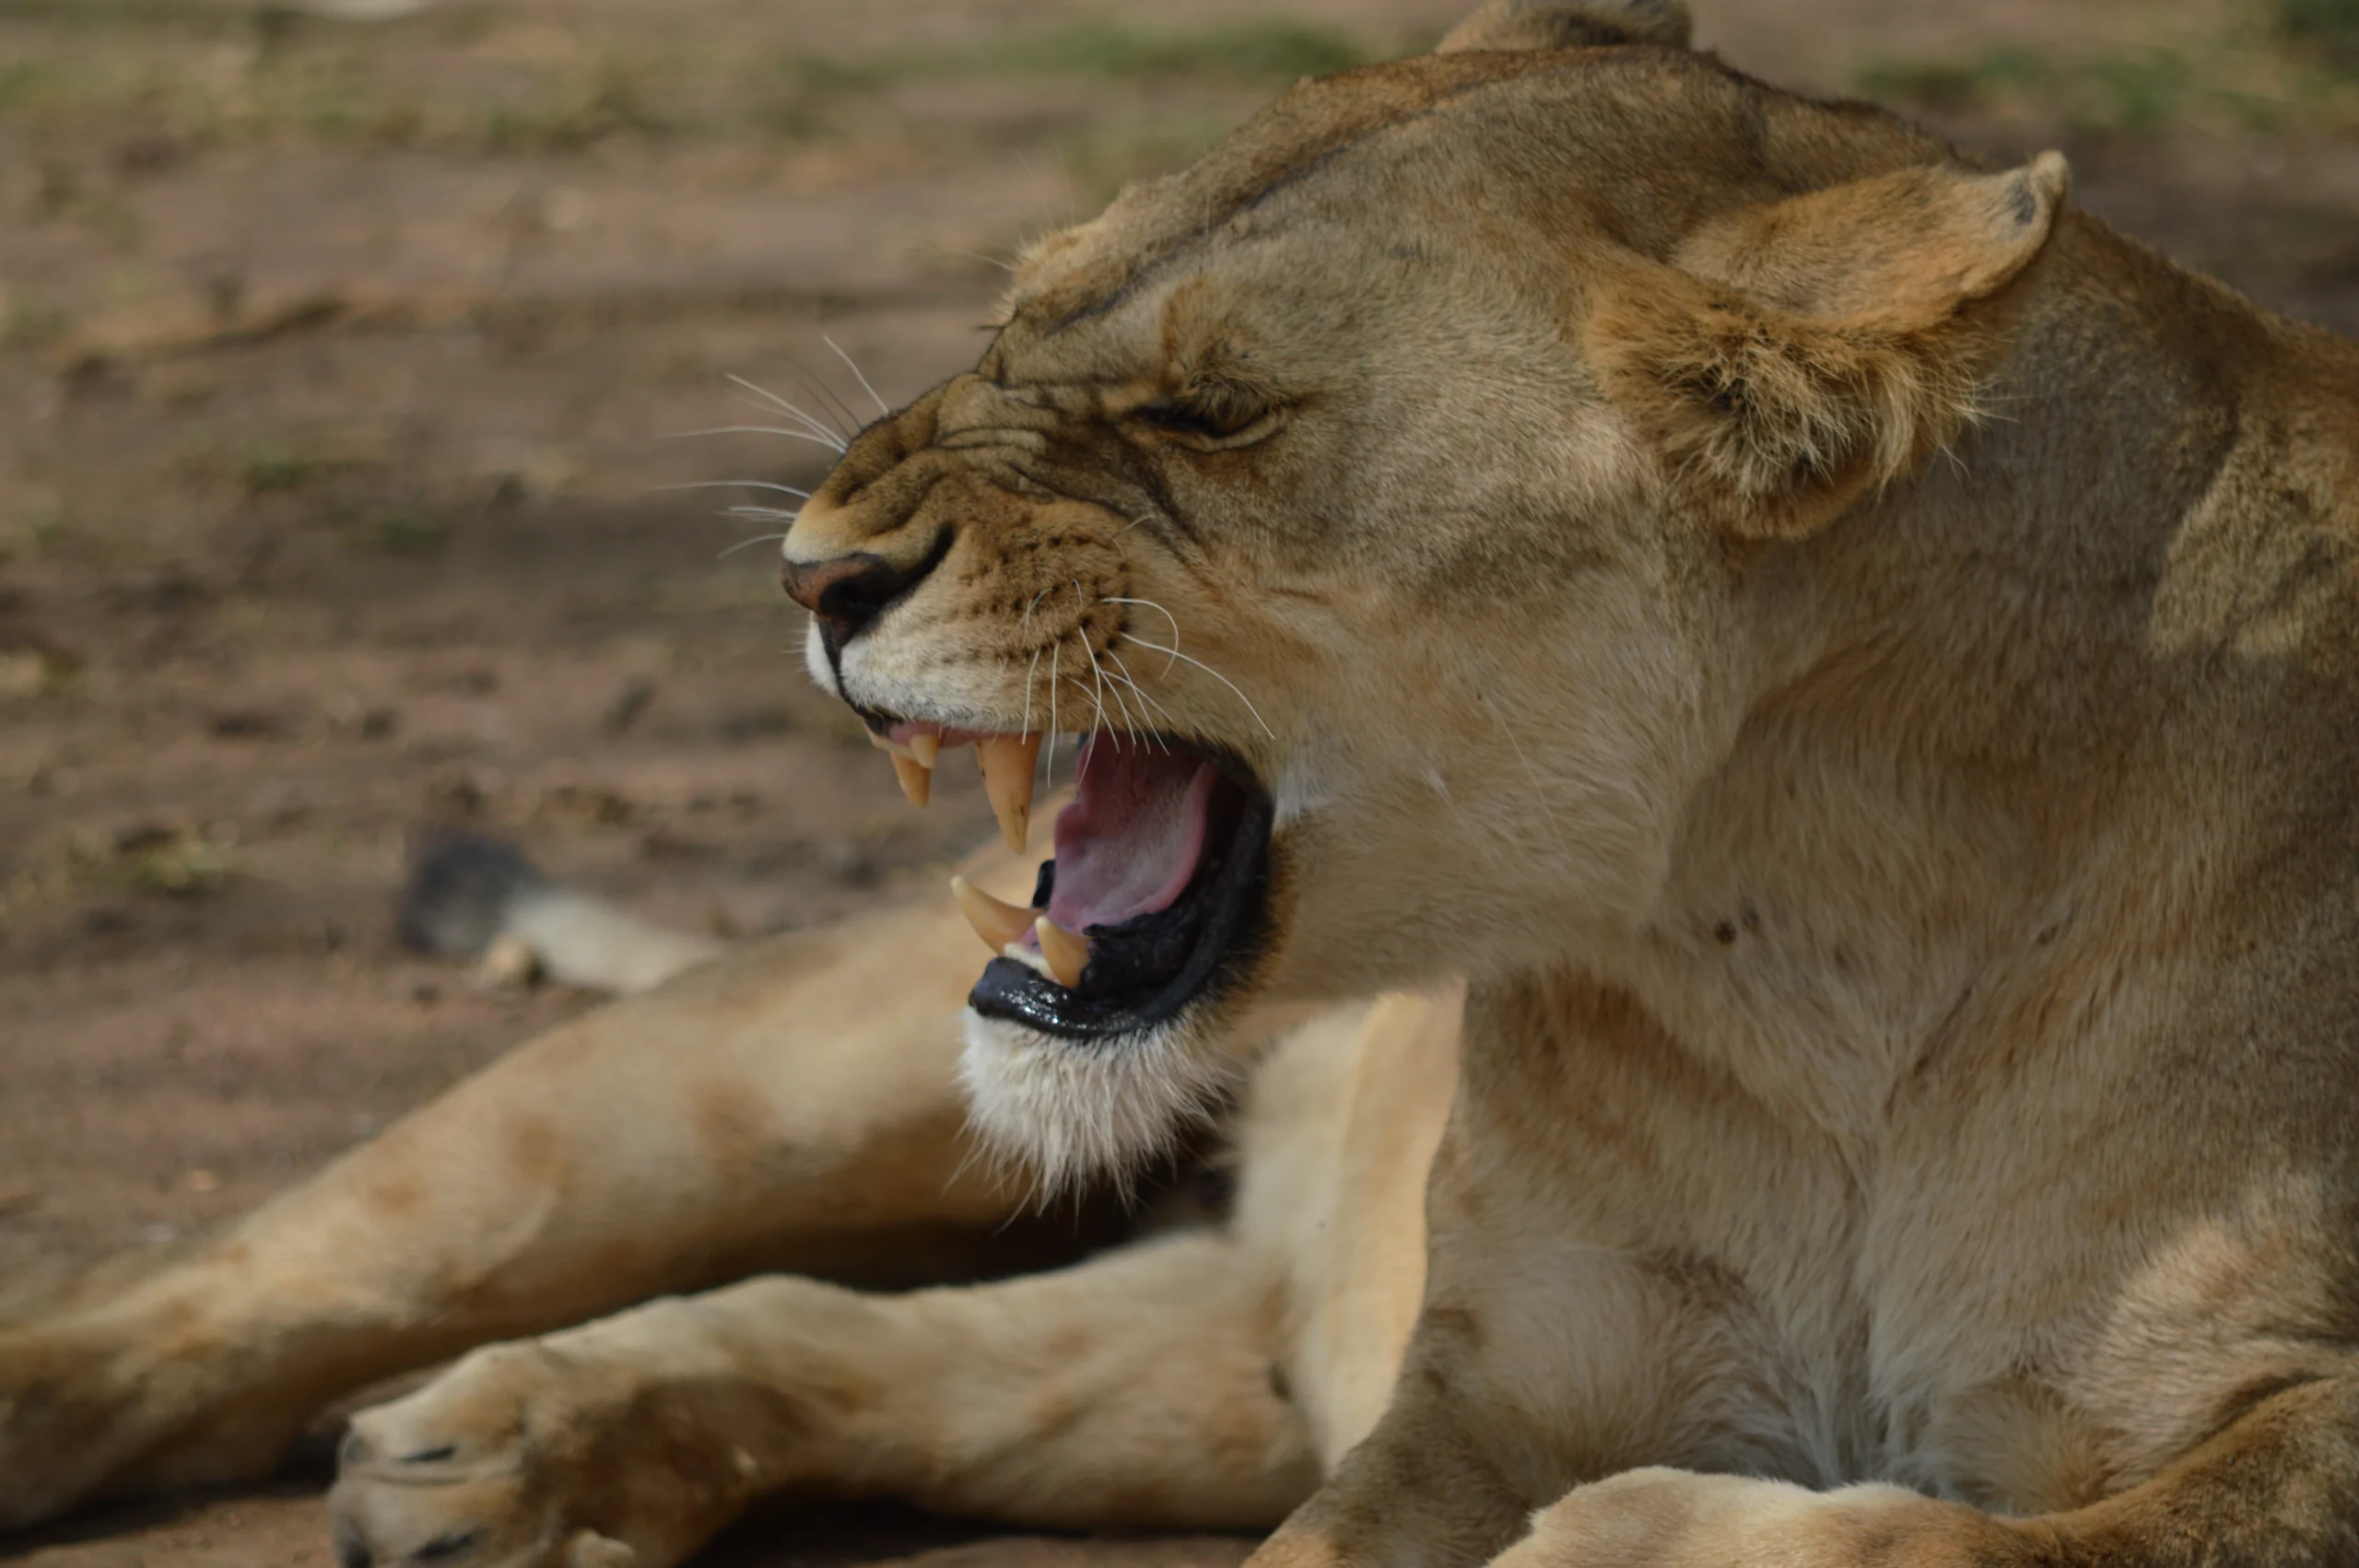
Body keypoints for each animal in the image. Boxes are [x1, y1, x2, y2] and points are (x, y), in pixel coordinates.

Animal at [8, 0, 2359, 1564]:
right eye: (1010, 314)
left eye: (1205, 411)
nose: (809, 572)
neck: (1810, 944)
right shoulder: (1471, 1394)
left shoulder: (2290, 1422)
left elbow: (2017, 1525)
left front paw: (1647, 1532)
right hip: (772, 1075)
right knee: (265, 1266)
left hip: (1227, 1343)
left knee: (889, 1349)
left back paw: (527, 1443)